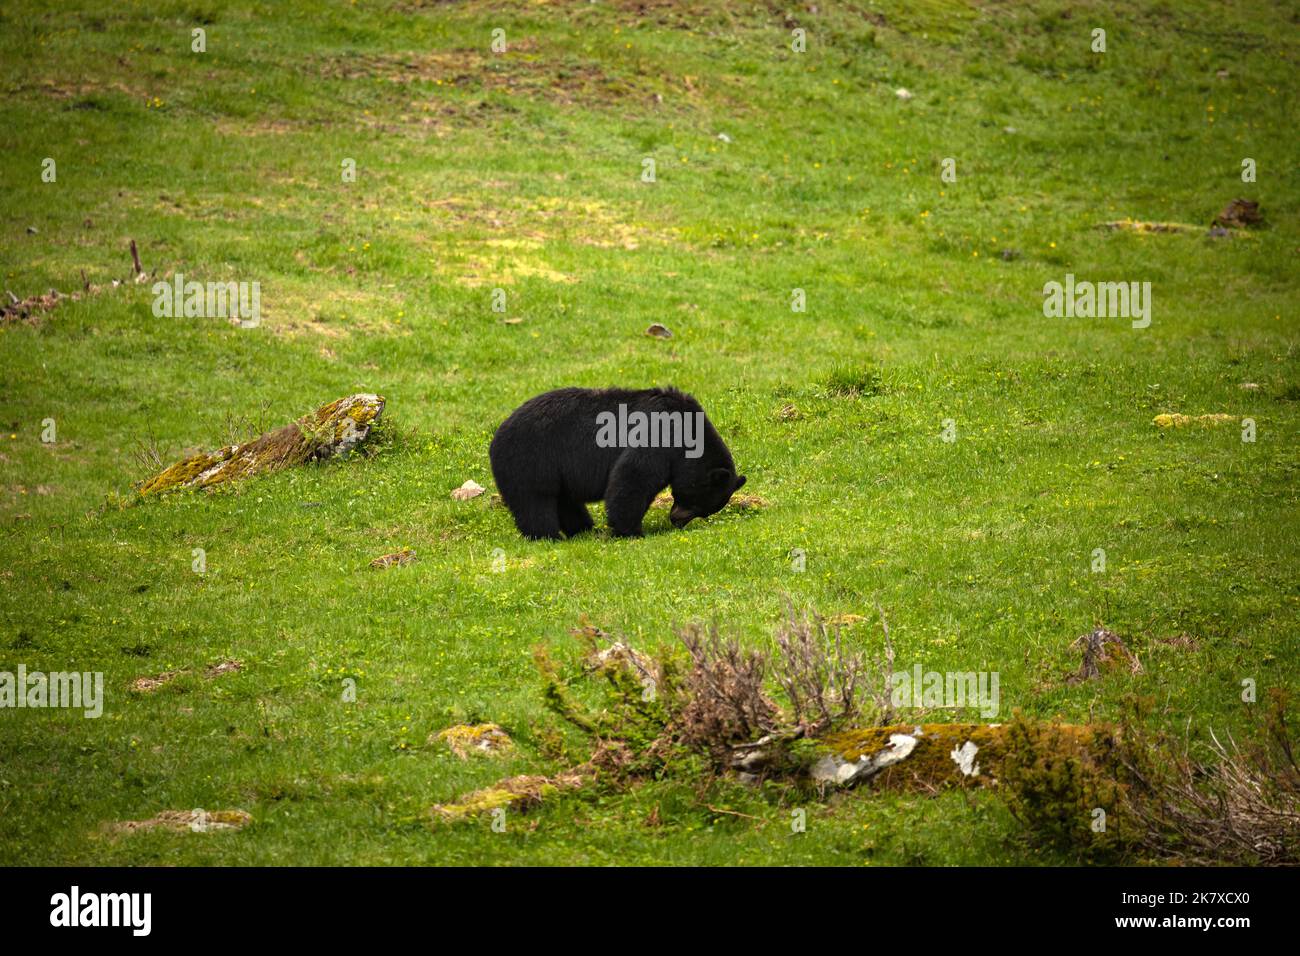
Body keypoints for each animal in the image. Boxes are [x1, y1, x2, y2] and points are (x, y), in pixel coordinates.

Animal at [488, 387, 748, 538]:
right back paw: (548, 535)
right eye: (697, 502)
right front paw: (630, 531)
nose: (677, 521)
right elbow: (633, 477)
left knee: (565, 500)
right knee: (535, 501)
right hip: (530, 459)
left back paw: (584, 529)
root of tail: (494, 439)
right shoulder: (658, 433)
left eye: (704, 511)